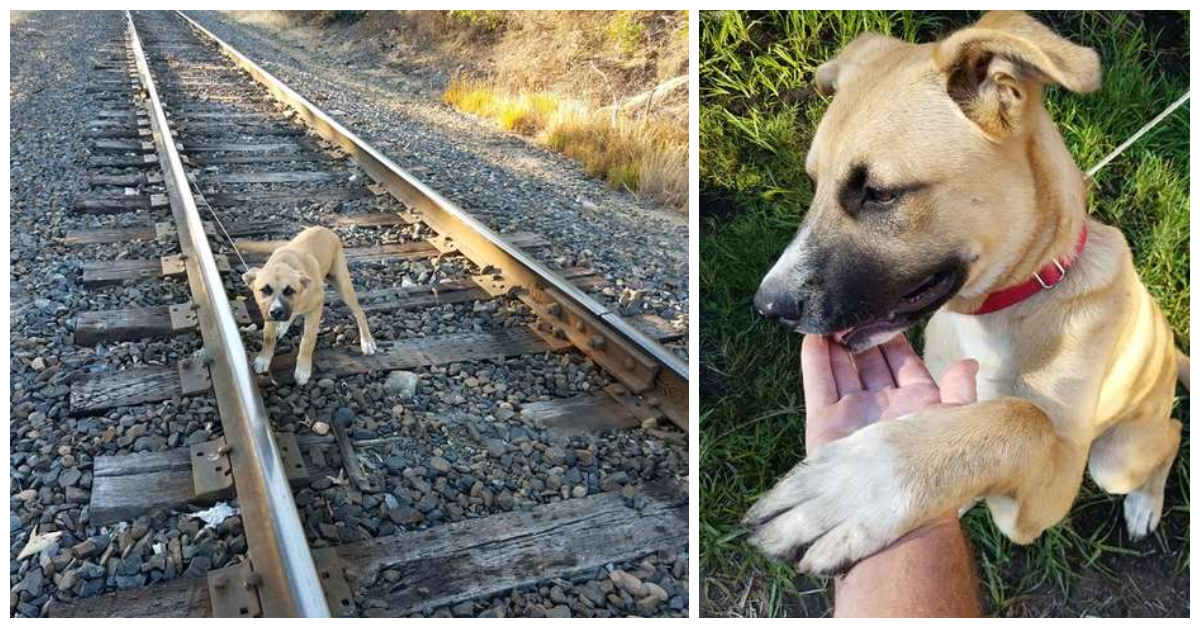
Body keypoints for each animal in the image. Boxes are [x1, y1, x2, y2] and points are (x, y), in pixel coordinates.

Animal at [238, 225, 374, 384]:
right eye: (265, 290)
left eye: (289, 290)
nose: (277, 313)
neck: (285, 263)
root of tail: (324, 228)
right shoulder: (267, 312)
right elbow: (269, 336)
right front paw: (263, 358)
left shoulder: (317, 304)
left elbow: (308, 339)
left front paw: (303, 369)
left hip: (342, 284)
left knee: (359, 311)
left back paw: (367, 341)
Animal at [744, 12, 1185, 578]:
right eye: (813, 183)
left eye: (880, 193)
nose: (767, 306)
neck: (1007, 310)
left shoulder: (1053, 485)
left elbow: (1021, 419)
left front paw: (859, 487)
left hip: (1113, 459)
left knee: (1171, 432)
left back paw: (1145, 503)